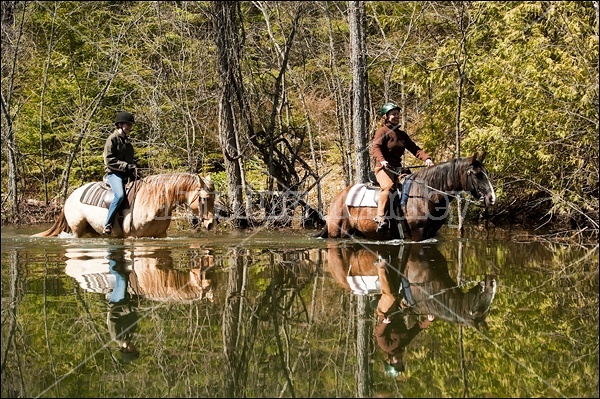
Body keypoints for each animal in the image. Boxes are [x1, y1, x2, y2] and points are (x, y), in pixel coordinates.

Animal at [34, 173, 214, 241]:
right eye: (204, 199)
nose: (210, 224)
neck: (151, 200)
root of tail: (70, 197)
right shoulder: (132, 237)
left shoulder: (161, 235)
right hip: (77, 229)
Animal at [316, 152, 494, 241]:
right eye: (477, 174)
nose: (492, 198)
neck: (424, 195)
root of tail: (338, 197)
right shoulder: (417, 235)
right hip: (338, 233)